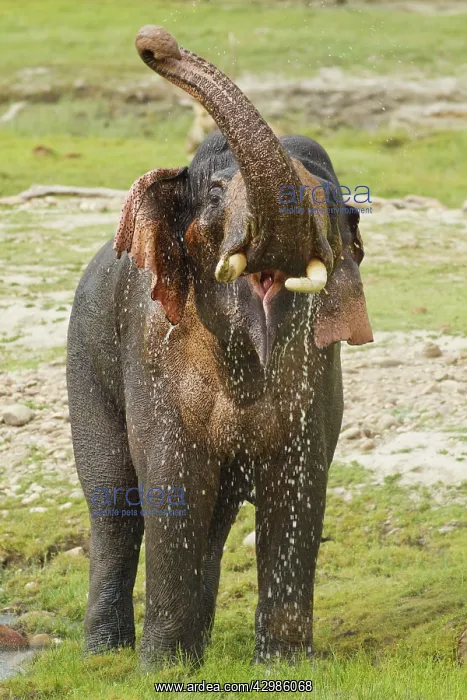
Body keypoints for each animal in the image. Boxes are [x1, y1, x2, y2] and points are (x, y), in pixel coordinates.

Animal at [66, 25, 373, 666]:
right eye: (211, 192)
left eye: (329, 198)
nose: (152, 40)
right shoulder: (150, 350)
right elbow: (173, 482)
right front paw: (160, 670)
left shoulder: (314, 374)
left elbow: (297, 484)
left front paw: (283, 666)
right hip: (85, 357)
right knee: (113, 506)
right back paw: (106, 656)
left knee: (217, 519)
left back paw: (194, 648)